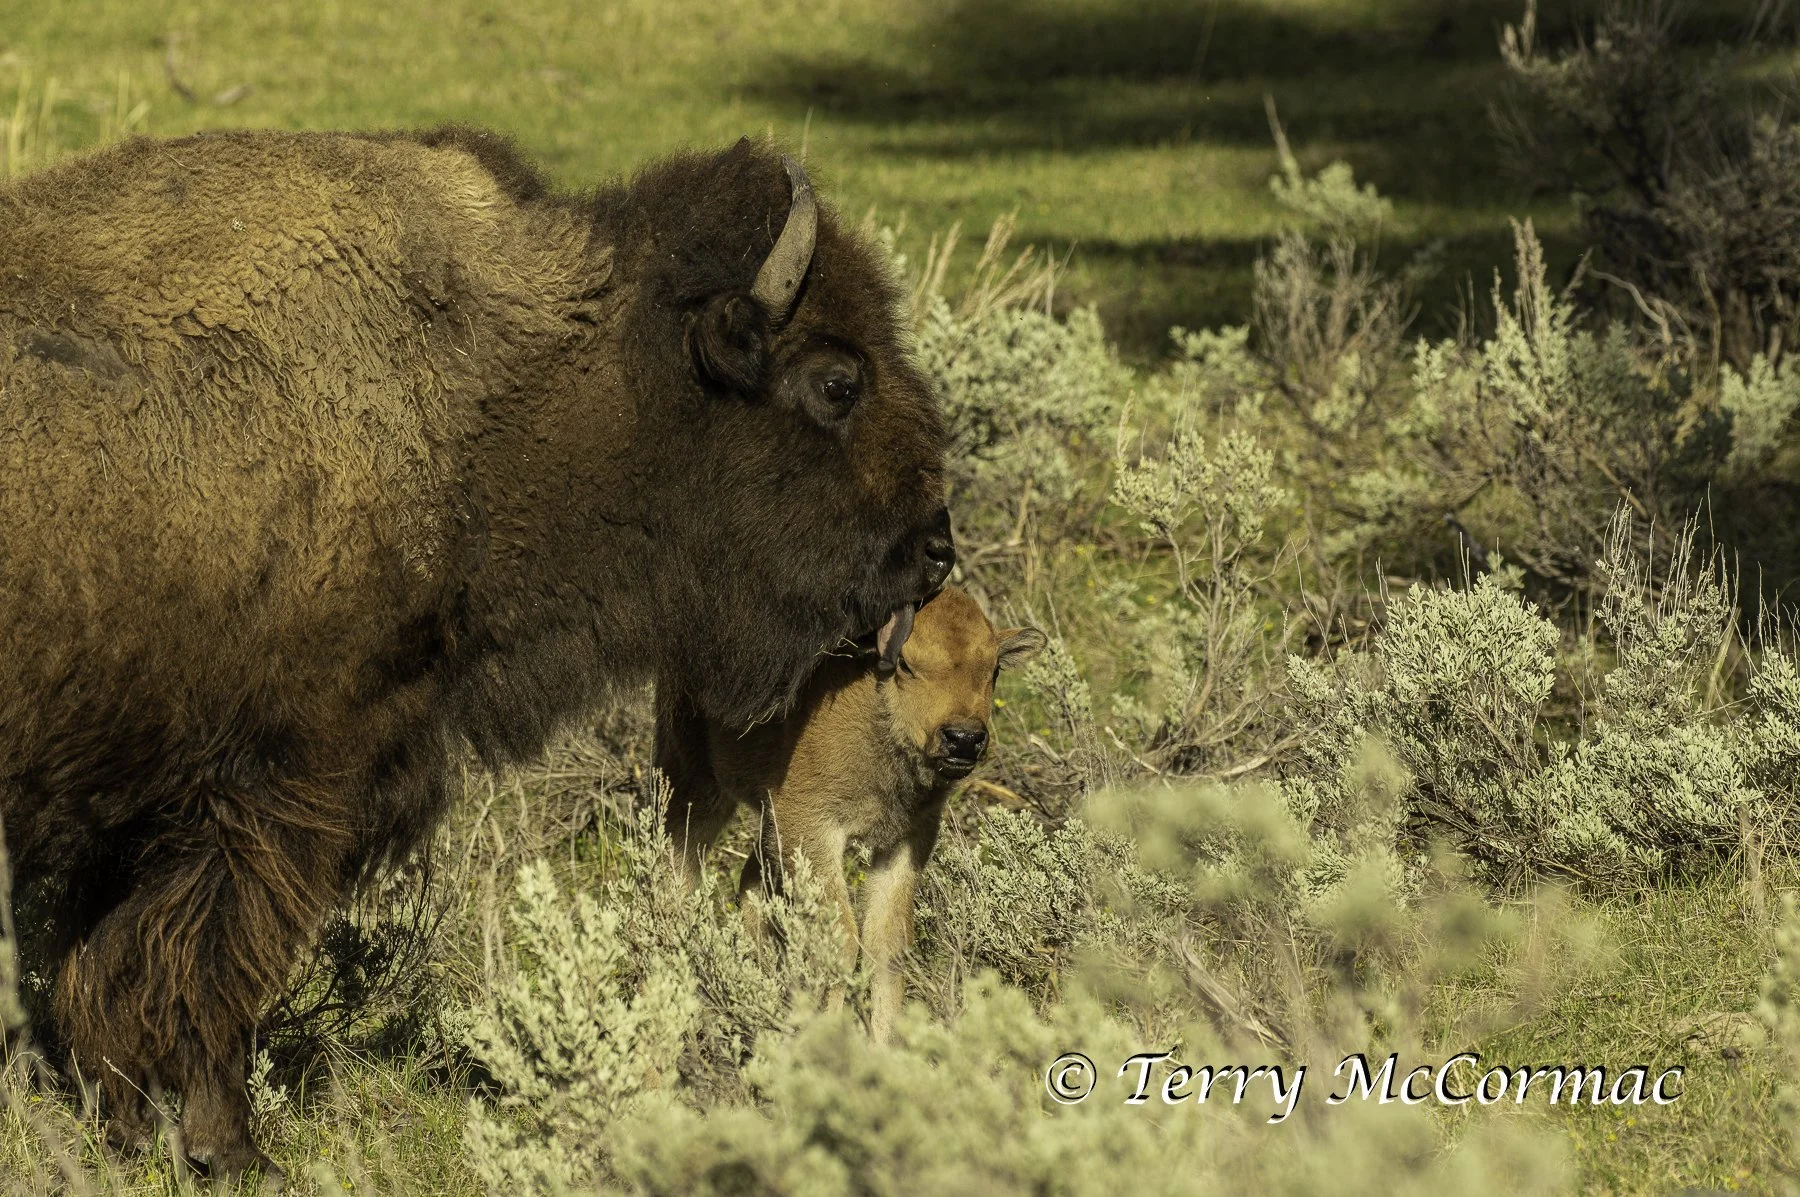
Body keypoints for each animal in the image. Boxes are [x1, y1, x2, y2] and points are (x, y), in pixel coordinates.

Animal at [0, 126, 952, 1183]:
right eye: (836, 382)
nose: (936, 547)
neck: (490, 391)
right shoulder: (283, 779)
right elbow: (210, 952)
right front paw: (231, 1147)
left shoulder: (134, 787)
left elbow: (108, 955)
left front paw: (133, 1127)